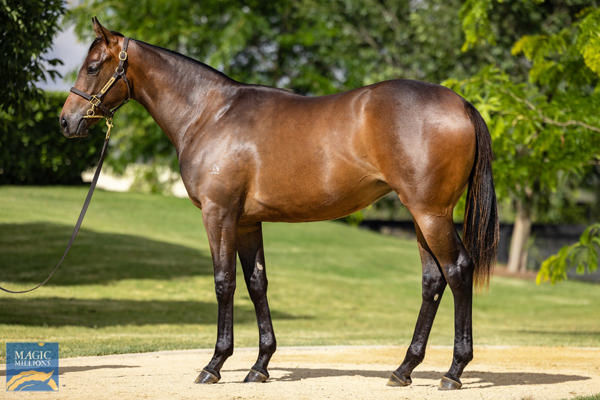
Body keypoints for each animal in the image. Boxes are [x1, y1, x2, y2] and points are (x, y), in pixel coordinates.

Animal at [62, 19, 502, 390]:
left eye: (93, 66)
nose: (66, 122)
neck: (210, 113)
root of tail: (461, 104)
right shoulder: (245, 222)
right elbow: (257, 283)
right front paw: (260, 365)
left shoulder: (218, 214)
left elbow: (224, 283)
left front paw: (214, 364)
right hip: (420, 215)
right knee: (432, 281)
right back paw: (404, 369)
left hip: (431, 214)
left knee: (458, 271)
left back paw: (453, 371)